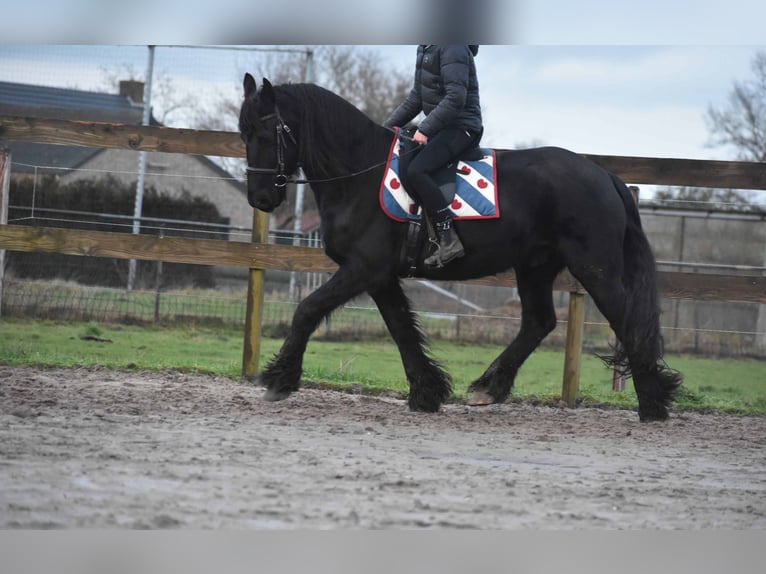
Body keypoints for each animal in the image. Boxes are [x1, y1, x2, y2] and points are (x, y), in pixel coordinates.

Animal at [238, 74, 683, 422]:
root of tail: (605, 176)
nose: (260, 198)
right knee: (538, 322)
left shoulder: (363, 267)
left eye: (264, 132)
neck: (357, 175)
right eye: (242, 133)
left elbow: (308, 309)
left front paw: (279, 378)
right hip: (535, 266)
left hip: (595, 267)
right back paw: (489, 387)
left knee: (625, 320)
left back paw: (653, 403)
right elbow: (401, 329)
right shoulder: (380, 276)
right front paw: (426, 392)